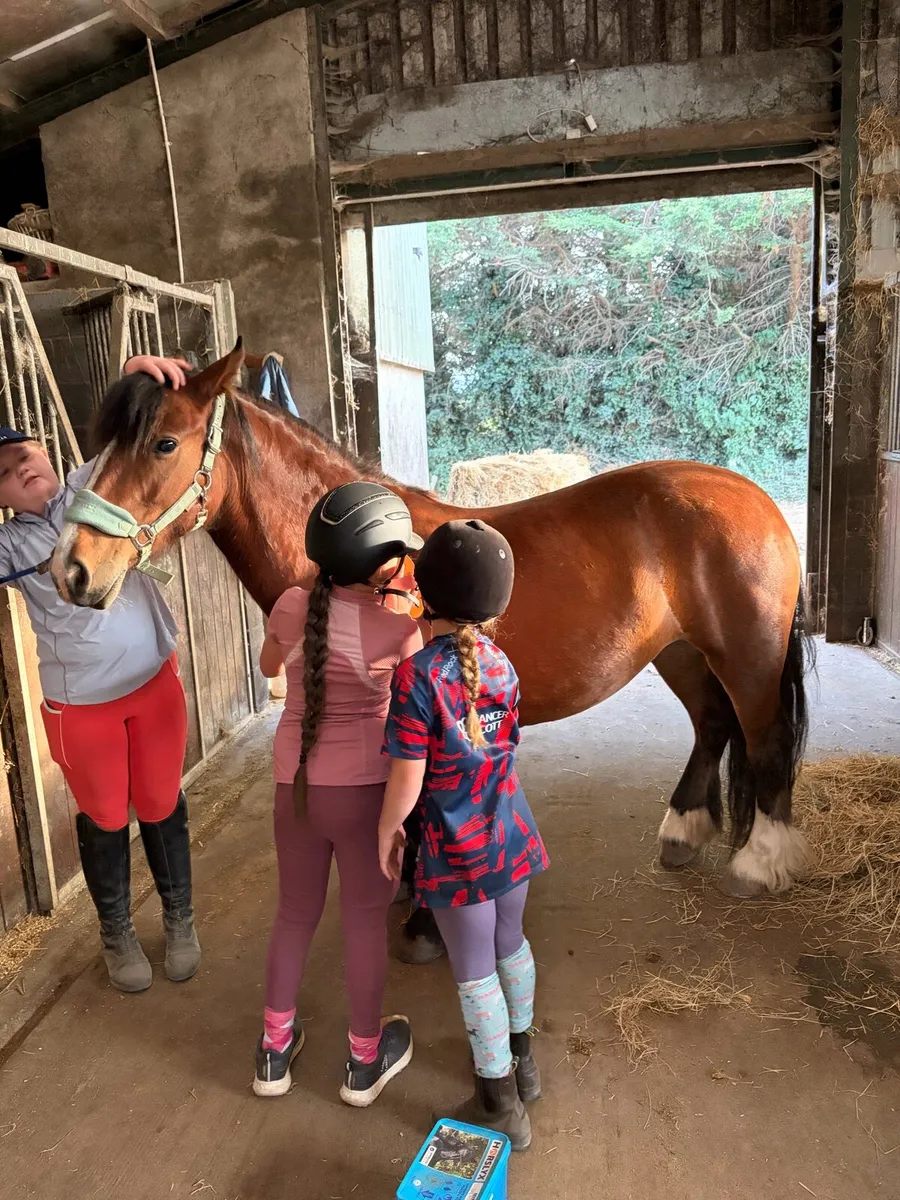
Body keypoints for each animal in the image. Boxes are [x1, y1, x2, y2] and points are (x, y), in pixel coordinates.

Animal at [50, 345, 813, 963]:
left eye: (163, 443)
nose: (71, 570)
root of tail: (751, 495)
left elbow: (415, 807)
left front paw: (422, 918)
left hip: (746, 655)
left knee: (764, 740)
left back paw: (758, 864)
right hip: (681, 652)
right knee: (712, 725)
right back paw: (684, 830)